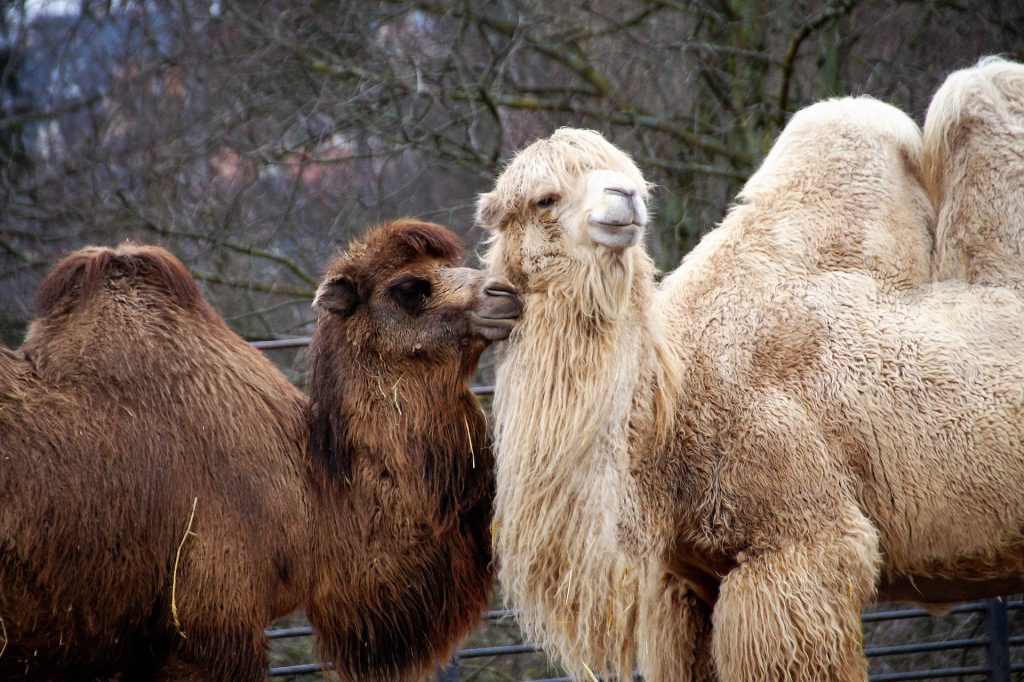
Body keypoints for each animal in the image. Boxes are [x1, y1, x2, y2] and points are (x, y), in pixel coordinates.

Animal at [478, 60, 1024, 681]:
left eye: (627, 174)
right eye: (544, 199)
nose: (627, 199)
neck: (672, 416)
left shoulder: (802, 551)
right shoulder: (683, 590)